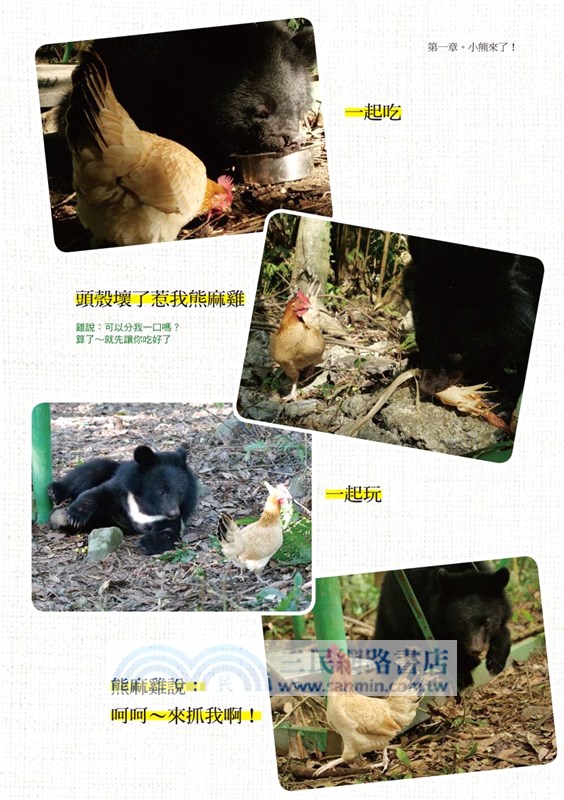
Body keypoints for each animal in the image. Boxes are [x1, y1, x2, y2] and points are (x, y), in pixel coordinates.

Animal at [48, 445, 198, 555]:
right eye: (162, 491)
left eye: (180, 492)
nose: (174, 513)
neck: (147, 504)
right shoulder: (123, 488)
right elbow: (99, 493)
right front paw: (74, 517)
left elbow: (170, 531)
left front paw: (145, 543)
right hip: (106, 468)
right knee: (88, 471)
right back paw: (54, 492)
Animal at [374, 562, 512, 692]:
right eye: (461, 623)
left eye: (487, 623)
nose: (475, 650)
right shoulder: (424, 609)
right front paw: (464, 674)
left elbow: (502, 629)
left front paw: (495, 663)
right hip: (393, 614)